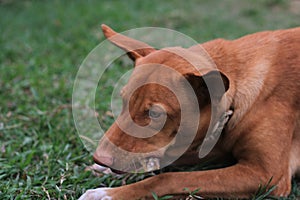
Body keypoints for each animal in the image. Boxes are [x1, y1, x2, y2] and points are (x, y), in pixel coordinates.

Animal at [79, 25, 300, 199]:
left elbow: (166, 179)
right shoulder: (217, 150)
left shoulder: (266, 175)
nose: (99, 159)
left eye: (155, 115)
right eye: (123, 100)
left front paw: (108, 194)